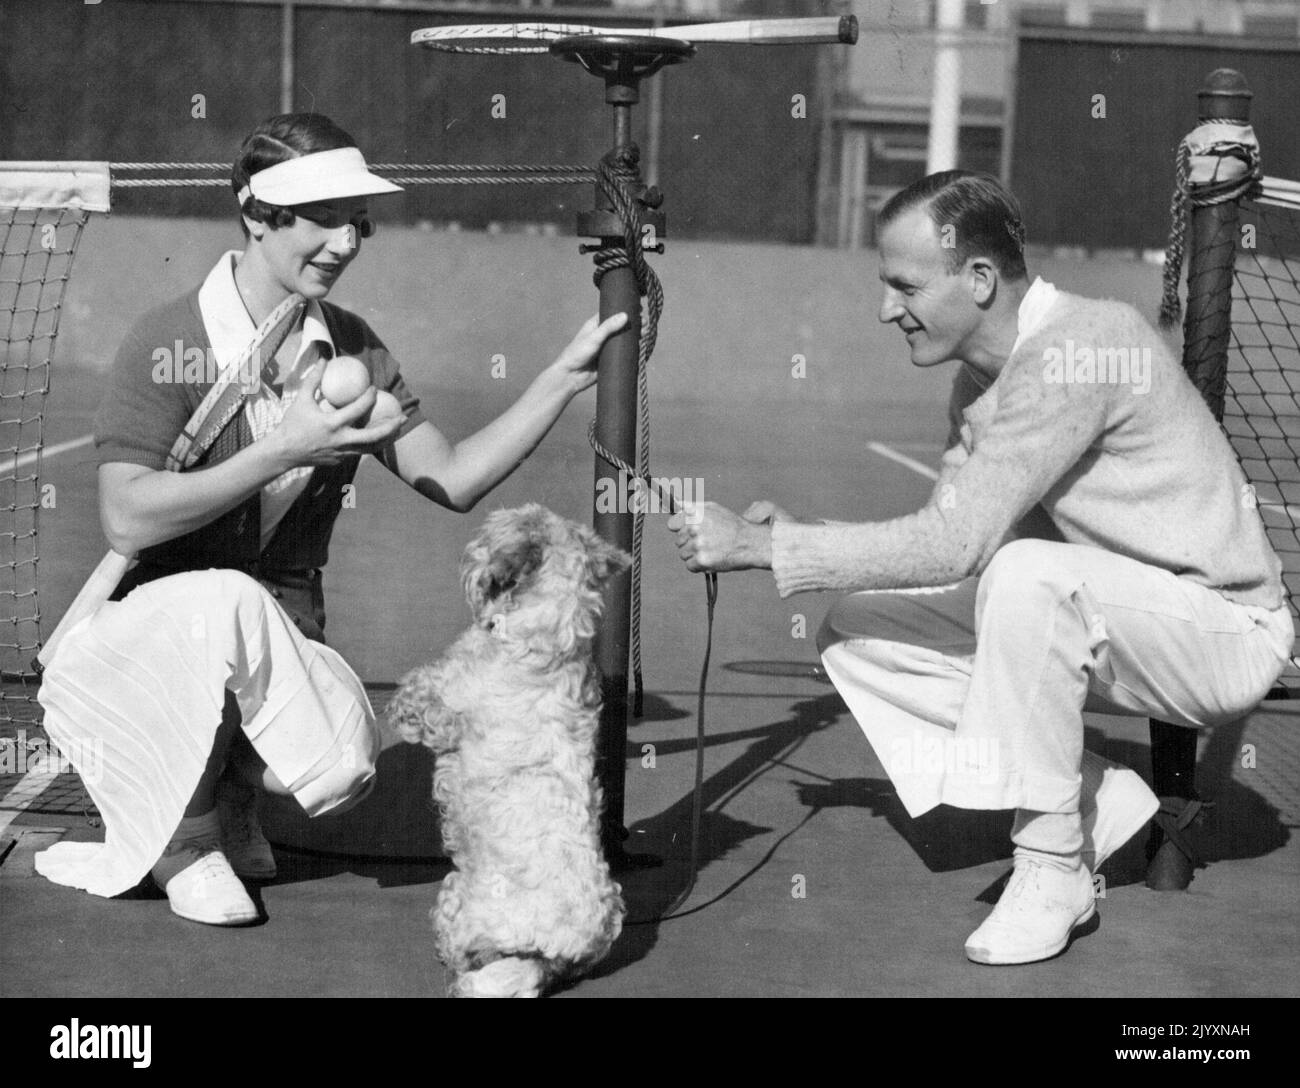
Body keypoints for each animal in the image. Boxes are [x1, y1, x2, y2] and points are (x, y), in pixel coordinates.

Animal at [384, 504, 629, 998]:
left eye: (493, 532)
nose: (469, 551)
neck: (547, 639)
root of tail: (551, 958)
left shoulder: (439, 708)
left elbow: (417, 697)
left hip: (459, 895)